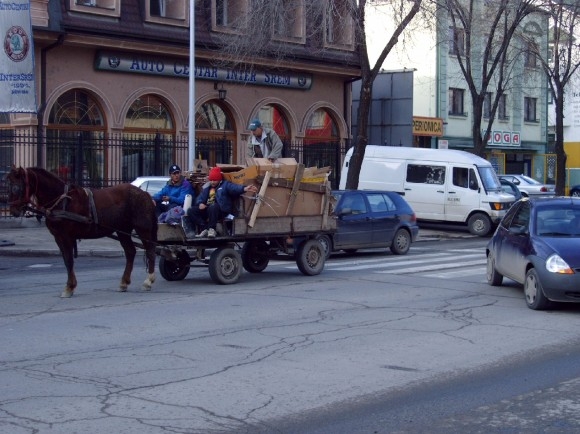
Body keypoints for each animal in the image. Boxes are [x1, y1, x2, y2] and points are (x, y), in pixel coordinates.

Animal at [7, 167, 157, 298]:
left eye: (16, 187)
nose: (13, 210)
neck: (62, 200)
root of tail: (145, 194)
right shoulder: (58, 237)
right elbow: (66, 260)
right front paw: (70, 286)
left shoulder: (66, 237)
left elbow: (69, 260)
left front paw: (69, 287)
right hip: (123, 231)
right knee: (130, 252)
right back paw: (124, 282)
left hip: (143, 229)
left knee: (150, 250)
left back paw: (148, 280)